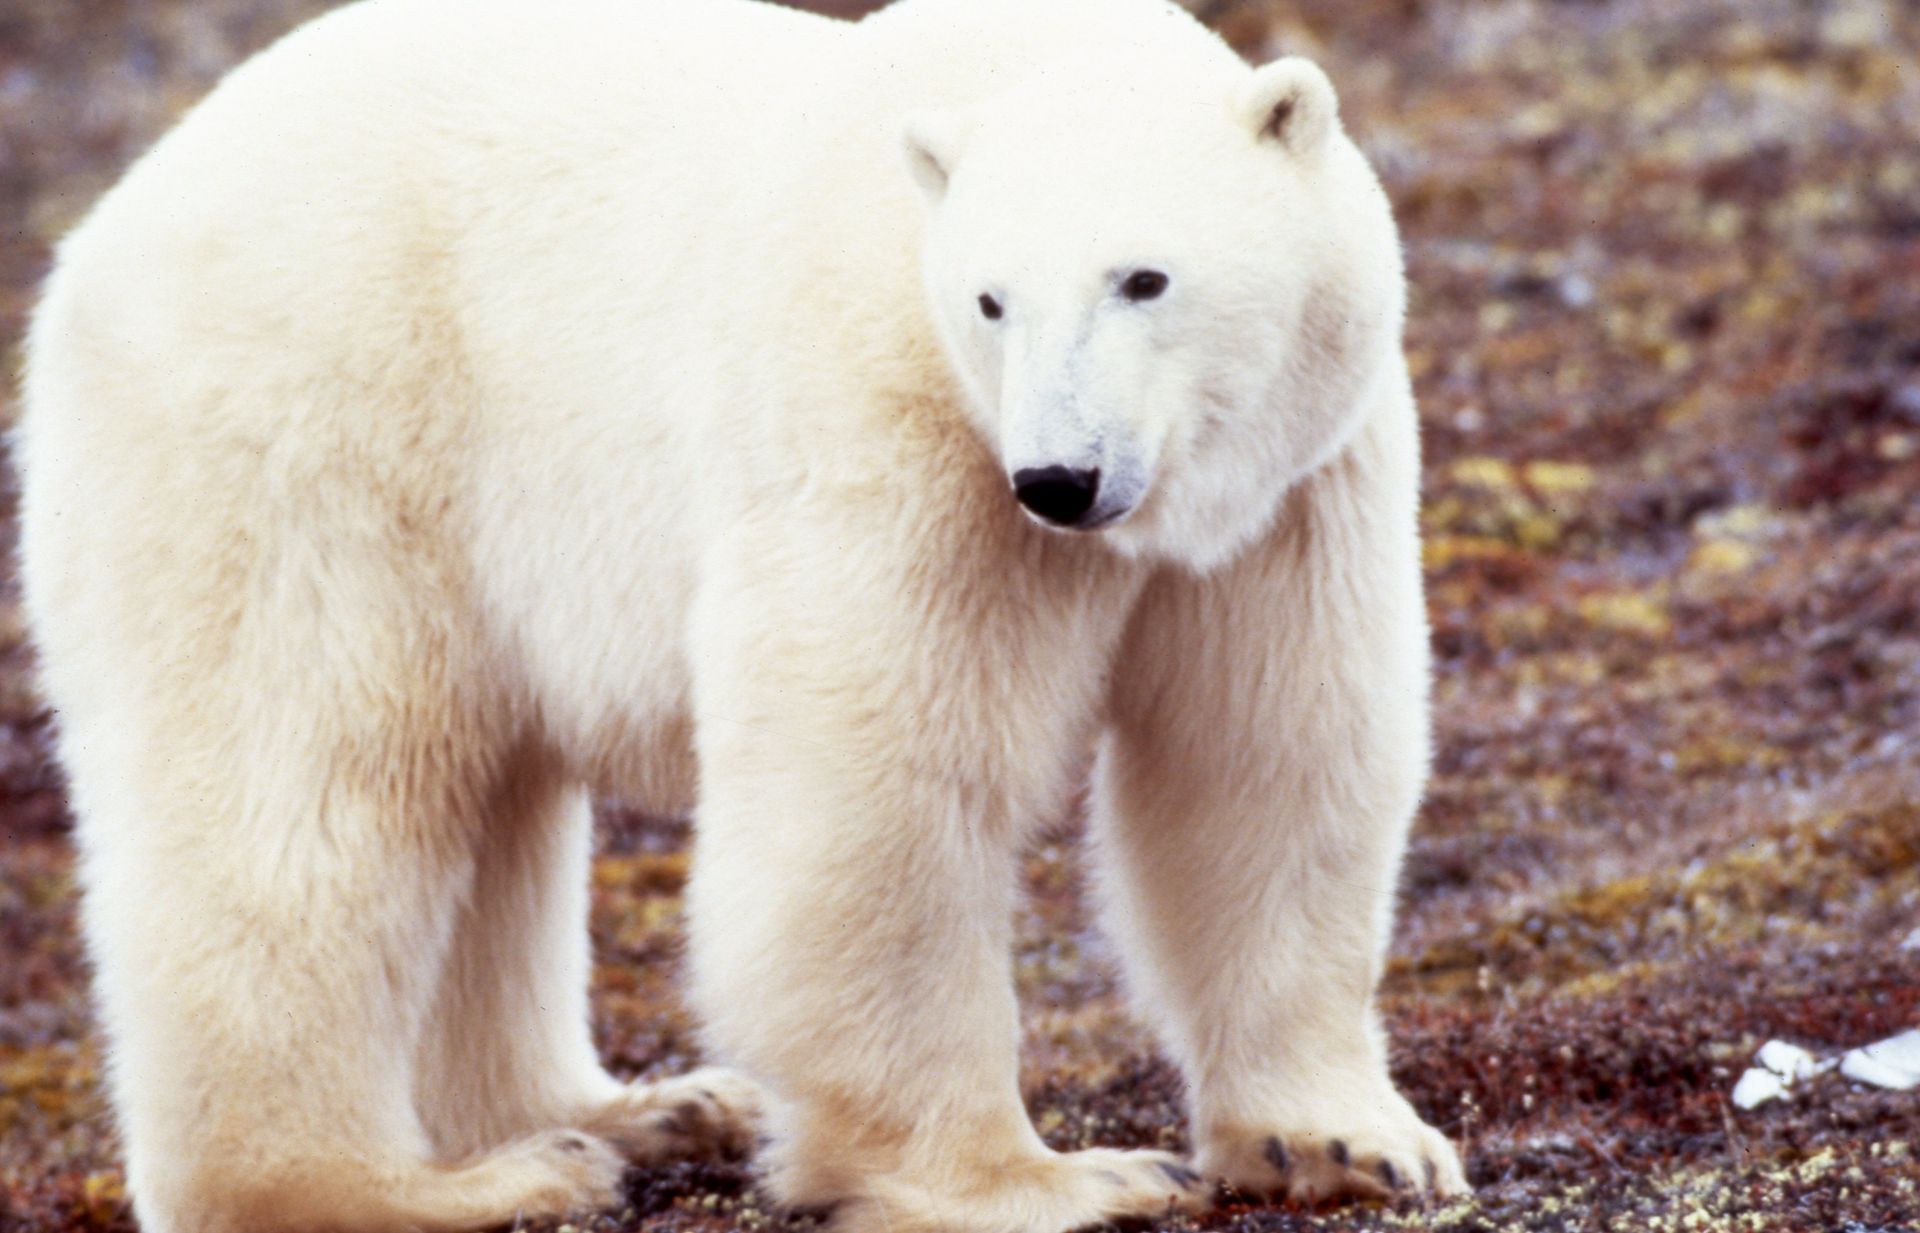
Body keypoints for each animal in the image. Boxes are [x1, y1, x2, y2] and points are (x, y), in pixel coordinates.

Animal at [15, 0, 1468, 1229]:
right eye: (991, 299)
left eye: (1144, 278)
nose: (1059, 478)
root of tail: (110, 225)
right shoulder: (894, 426)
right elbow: (878, 782)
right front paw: (1051, 1179)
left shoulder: (1295, 485)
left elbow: (1267, 756)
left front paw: (1351, 1142)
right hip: (314, 432)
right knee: (308, 792)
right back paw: (445, 1182)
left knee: (489, 806)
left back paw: (642, 1109)